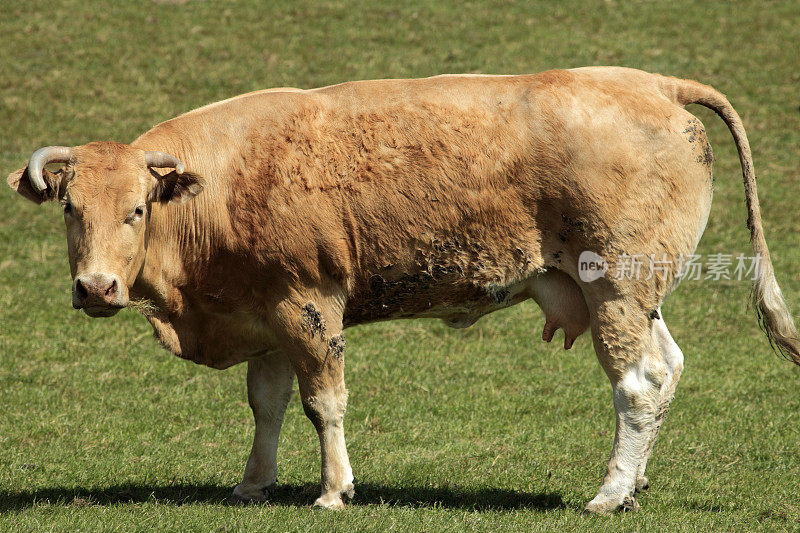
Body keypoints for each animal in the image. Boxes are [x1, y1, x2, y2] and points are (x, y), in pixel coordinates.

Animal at [6, 66, 800, 512]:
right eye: (71, 209)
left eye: (137, 209)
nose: (97, 286)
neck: (221, 186)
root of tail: (652, 82)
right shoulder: (263, 312)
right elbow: (266, 405)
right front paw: (252, 484)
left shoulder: (308, 303)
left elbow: (323, 404)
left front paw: (333, 491)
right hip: (637, 297)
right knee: (668, 371)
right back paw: (632, 488)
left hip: (616, 287)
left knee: (638, 382)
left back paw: (607, 494)